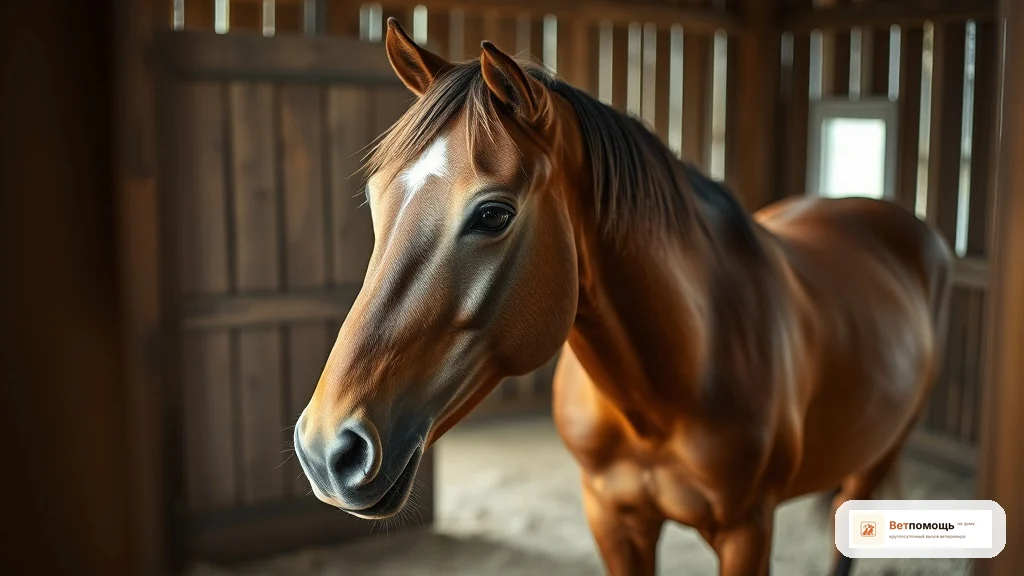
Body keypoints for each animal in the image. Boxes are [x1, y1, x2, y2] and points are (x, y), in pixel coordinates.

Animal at [292, 18, 953, 576]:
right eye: (376, 198)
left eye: (492, 214)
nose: (327, 451)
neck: (666, 388)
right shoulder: (613, 520)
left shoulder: (748, 531)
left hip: (872, 461)